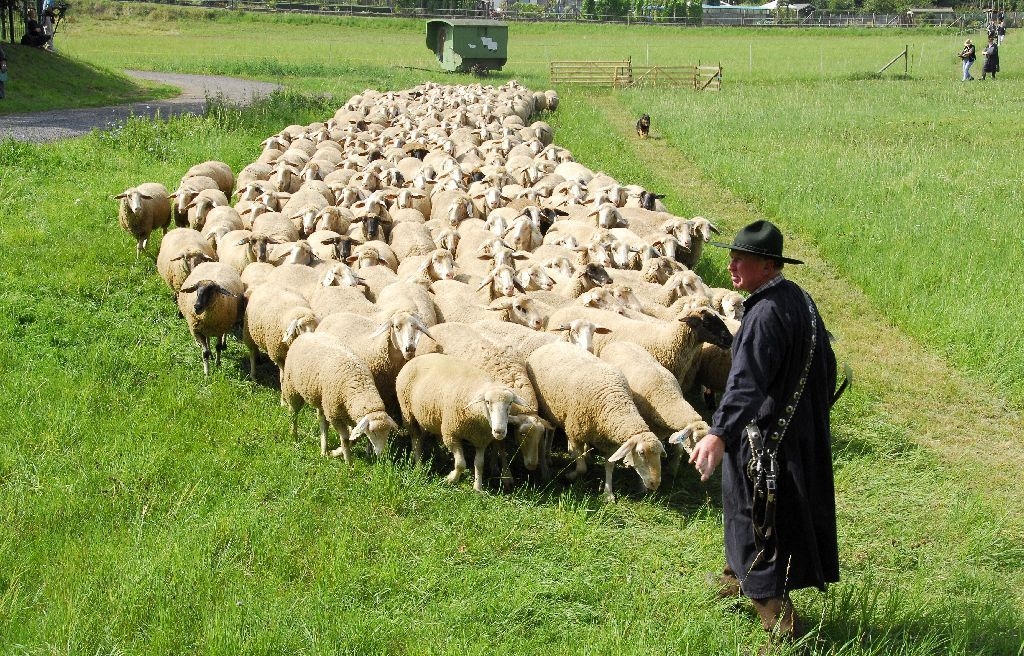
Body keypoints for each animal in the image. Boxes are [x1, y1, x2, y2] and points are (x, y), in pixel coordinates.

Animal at [282, 331, 397, 460]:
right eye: (373, 432)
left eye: (387, 432)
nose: (380, 454)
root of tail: (305, 334)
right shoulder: (335, 416)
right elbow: (346, 440)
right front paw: (347, 462)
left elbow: (354, 439)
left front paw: (335, 452)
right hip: (292, 388)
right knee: (293, 414)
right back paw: (294, 436)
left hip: (322, 399)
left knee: (322, 422)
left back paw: (324, 450)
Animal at [395, 352, 532, 491]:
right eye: (487, 402)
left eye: (510, 403)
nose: (499, 431)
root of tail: (419, 357)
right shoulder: (451, 434)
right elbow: (461, 464)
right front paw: (451, 479)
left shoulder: (481, 440)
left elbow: (479, 464)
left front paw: (477, 488)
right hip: (407, 412)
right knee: (416, 440)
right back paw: (419, 466)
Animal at [528, 339, 663, 499]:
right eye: (641, 453)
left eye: (660, 454)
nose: (655, 484)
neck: (614, 403)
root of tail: (554, 343)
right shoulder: (575, 433)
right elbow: (582, 468)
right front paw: (570, 475)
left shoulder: (610, 443)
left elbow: (609, 465)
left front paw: (608, 492)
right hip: (546, 409)